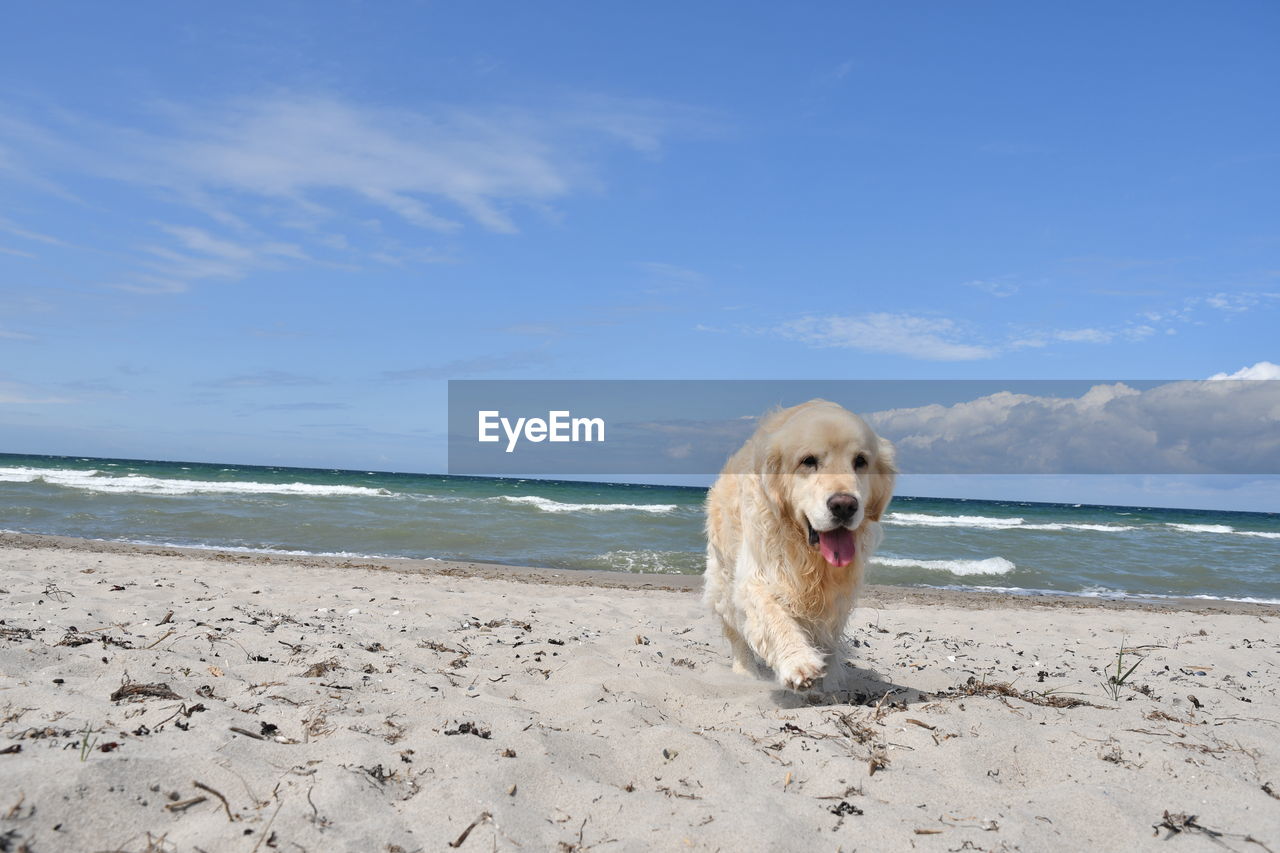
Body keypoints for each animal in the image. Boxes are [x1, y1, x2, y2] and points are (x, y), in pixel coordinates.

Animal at [706, 399, 896, 691]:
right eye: (808, 461)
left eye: (860, 461)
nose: (844, 505)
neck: (810, 556)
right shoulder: (757, 573)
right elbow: (772, 614)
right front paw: (799, 662)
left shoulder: (838, 596)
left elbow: (828, 634)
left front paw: (829, 681)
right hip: (723, 580)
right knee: (735, 629)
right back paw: (745, 671)